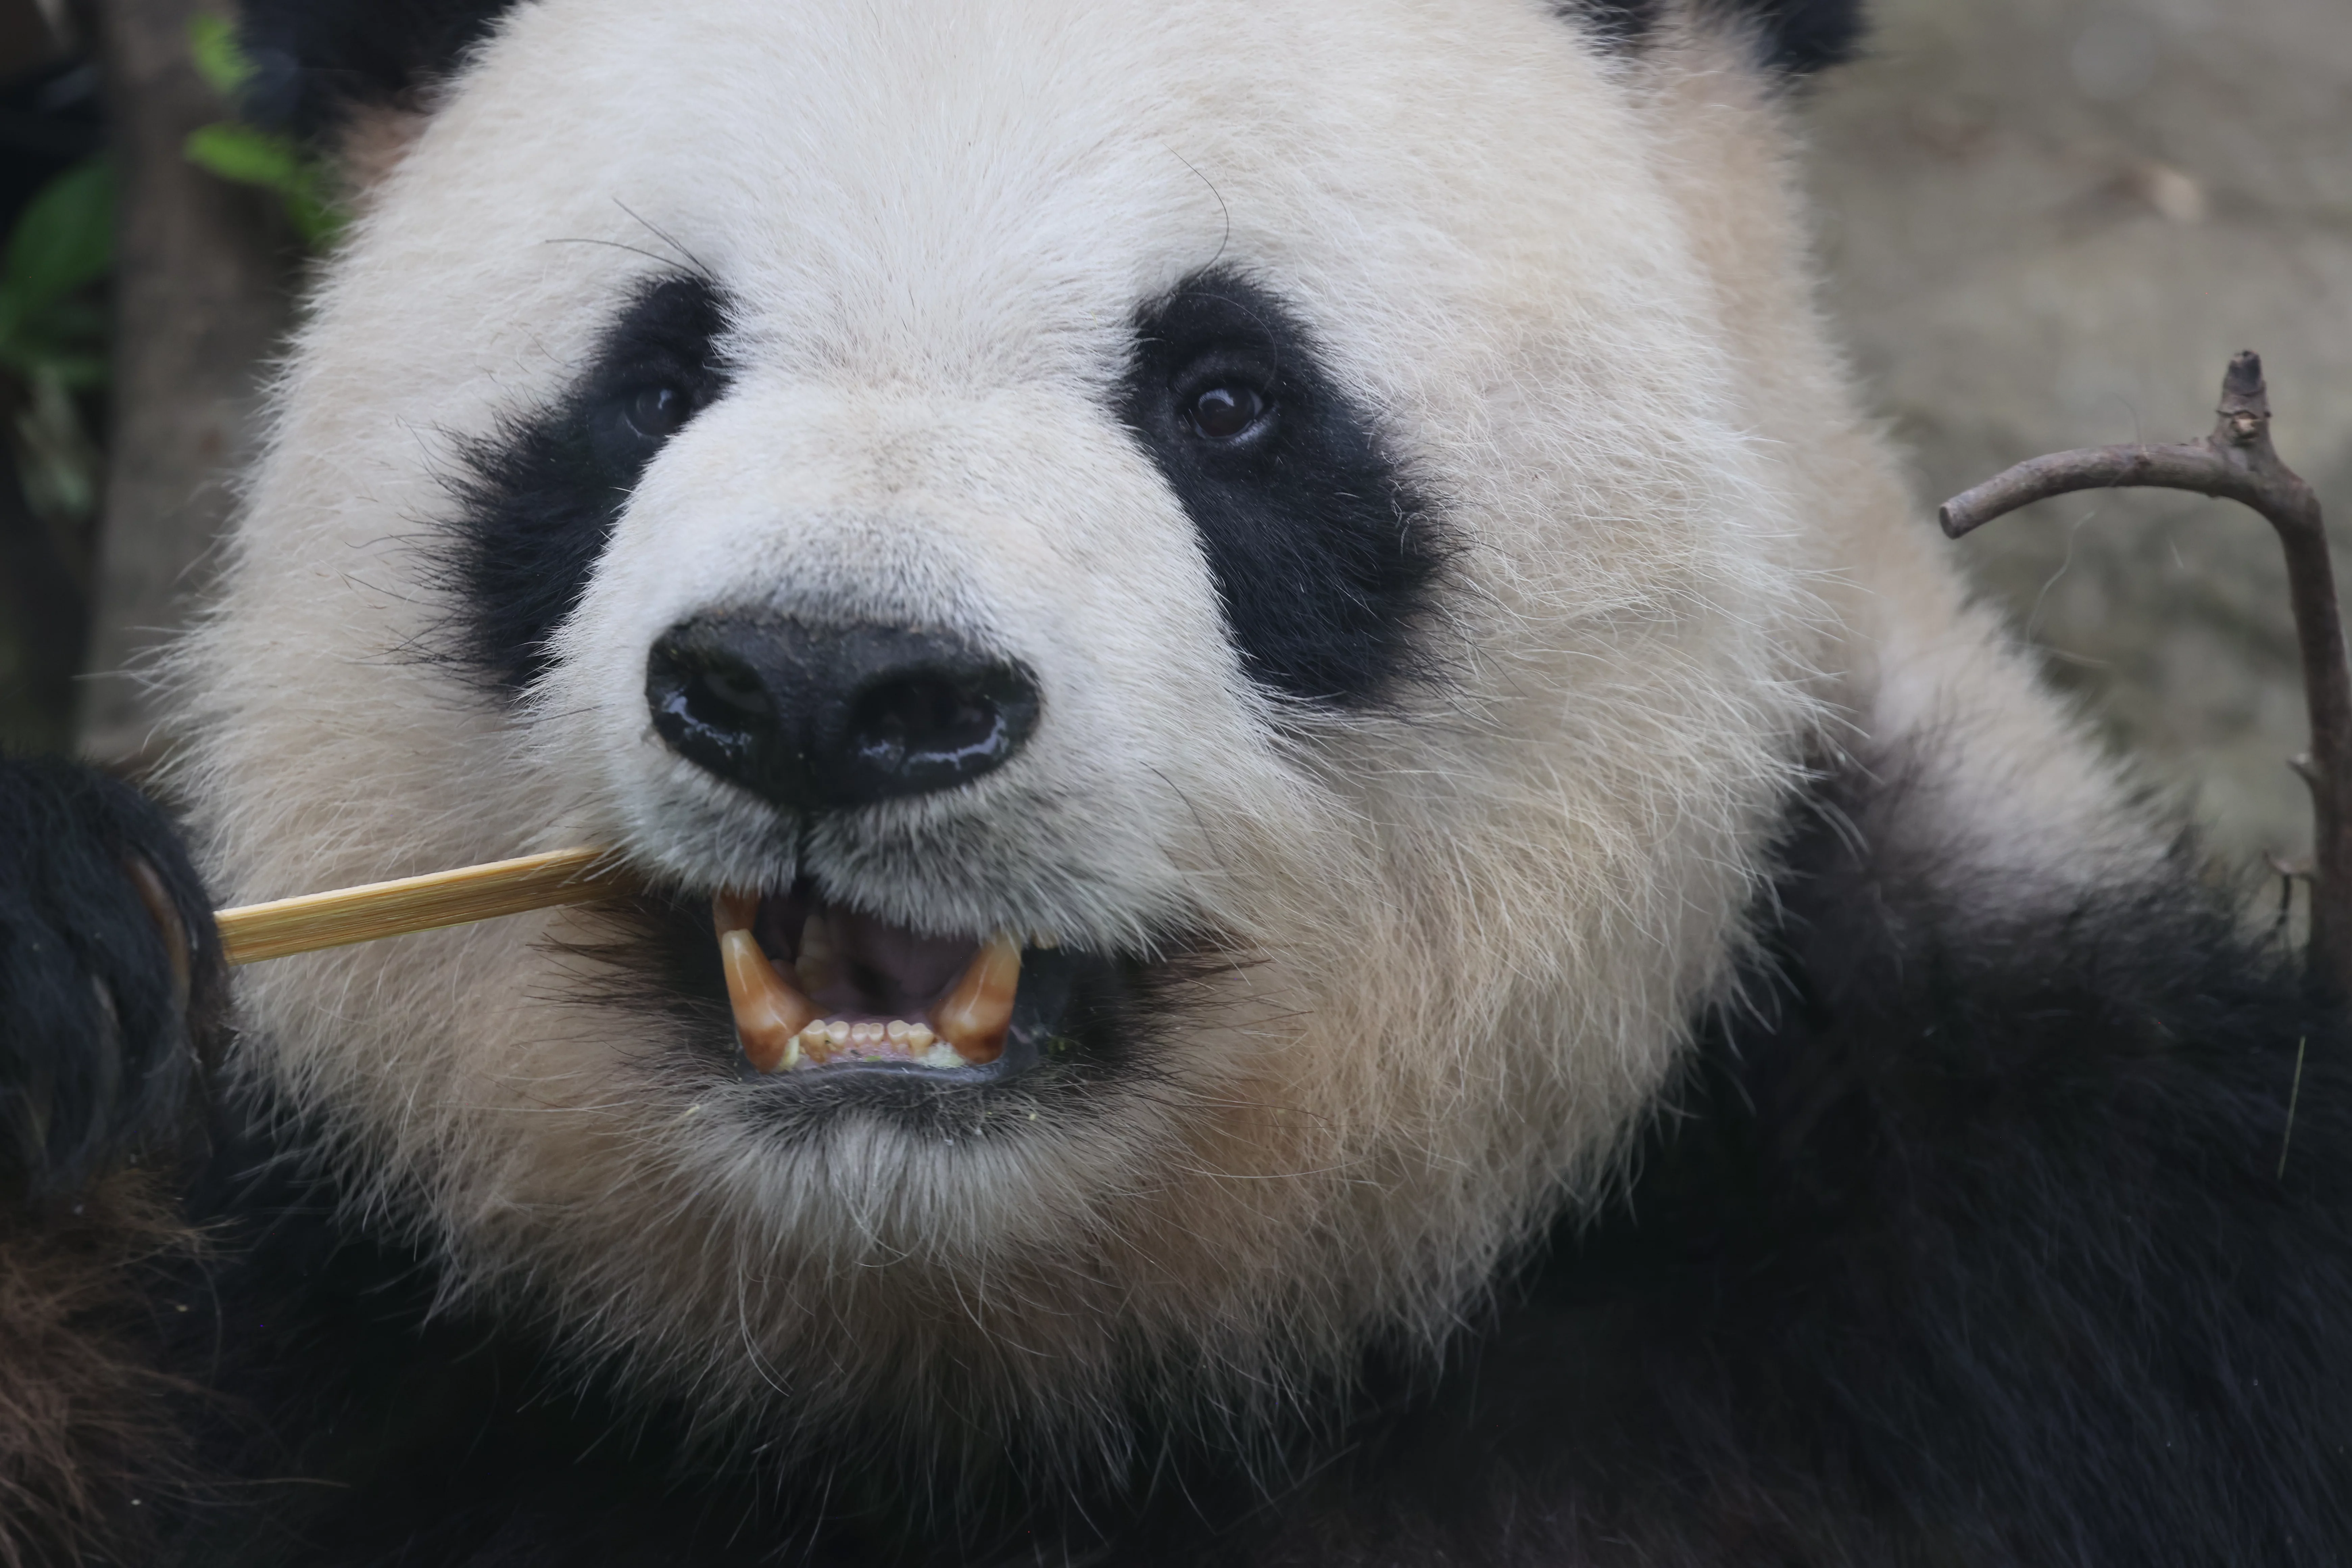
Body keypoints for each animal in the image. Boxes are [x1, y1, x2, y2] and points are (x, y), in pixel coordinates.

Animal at [3, 0, 2350, 1561]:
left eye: (1226, 397)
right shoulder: (337, 1342)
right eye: (651, 382)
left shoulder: (2051, 1280)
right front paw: (53, 965)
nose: (826, 689)